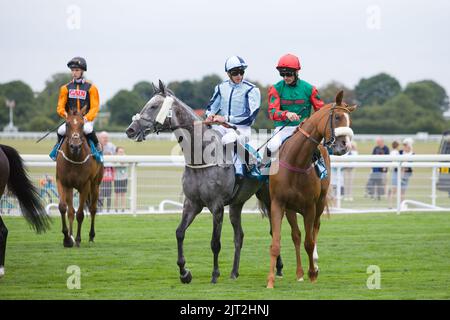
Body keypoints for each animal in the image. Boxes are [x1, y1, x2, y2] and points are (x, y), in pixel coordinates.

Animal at [55, 107, 103, 248]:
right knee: (71, 211)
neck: (74, 158)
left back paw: (91, 236)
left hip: (95, 185)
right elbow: (63, 208)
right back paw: (70, 235)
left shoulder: (85, 185)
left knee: (93, 209)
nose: (75, 146)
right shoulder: (62, 182)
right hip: (71, 187)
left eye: (82, 124)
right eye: (67, 124)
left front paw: (77, 239)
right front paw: (67, 238)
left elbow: (81, 214)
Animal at [126, 81, 282, 284]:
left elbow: (215, 242)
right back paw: (234, 272)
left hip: (267, 197)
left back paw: (279, 268)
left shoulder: (216, 206)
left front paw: (215, 274)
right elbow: (179, 233)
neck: (201, 158)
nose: (130, 130)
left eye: (153, 106)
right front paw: (184, 272)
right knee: (239, 235)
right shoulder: (192, 203)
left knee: (274, 230)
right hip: (237, 203)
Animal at [264, 90, 356, 288]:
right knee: (296, 235)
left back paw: (313, 263)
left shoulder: (310, 207)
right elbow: (277, 243)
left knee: (314, 230)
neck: (296, 162)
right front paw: (271, 281)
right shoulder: (278, 204)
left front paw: (313, 273)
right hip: (291, 209)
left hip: (319, 203)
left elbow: (309, 242)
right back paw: (299, 273)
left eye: (349, 120)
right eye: (337, 117)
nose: (344, 146)